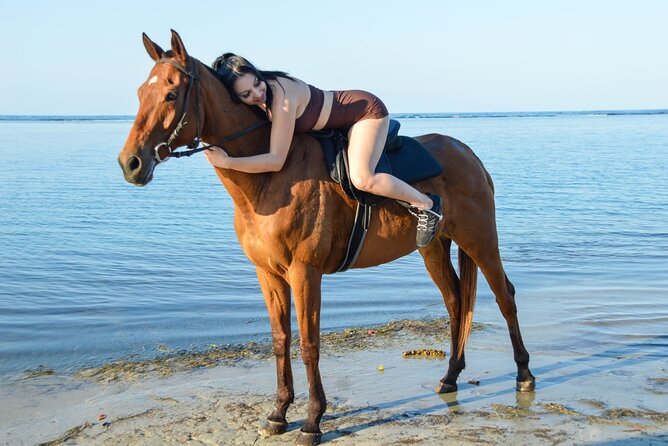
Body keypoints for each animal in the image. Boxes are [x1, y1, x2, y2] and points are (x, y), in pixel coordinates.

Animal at [118, 29, 536, 444]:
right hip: (433, 247)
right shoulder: (268, 275)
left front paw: (312, 420)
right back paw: (450, 377)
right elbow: (280, 340)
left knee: (504, 296)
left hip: (480, 239)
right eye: (139, 93)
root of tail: (467, 153)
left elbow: (309, 344)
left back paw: (524, 374)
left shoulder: (305, 273)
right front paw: (278, 413)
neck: (268, 179)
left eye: (171, 94)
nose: (130, 163)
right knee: (455, 302)